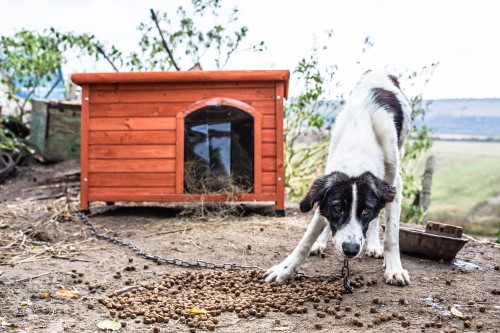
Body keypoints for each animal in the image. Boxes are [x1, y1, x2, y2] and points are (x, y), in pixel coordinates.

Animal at [266, 69, 410, 286]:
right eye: (337, 208)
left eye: (366, 210)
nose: (350, 249)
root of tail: (379, 72)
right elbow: (307, 237)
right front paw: (285, 268)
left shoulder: (394, 184)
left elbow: (391, 235)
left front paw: (394, 268)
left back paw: (374, 245)